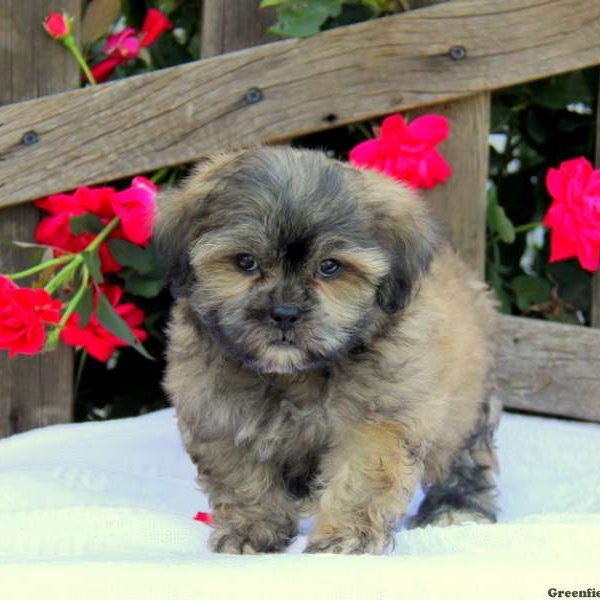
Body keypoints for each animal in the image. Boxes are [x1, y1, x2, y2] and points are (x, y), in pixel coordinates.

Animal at [156, 144, 502, 552]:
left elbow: (361, 479)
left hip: (468, 405)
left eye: (330, 267)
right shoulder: (217, 415)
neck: (295, 376)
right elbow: (242, 479)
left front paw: (346, 537)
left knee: (467, 457)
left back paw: (458, 507)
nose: (284, 313)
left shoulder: (377, 421)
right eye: (245, 261)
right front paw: (251, 529)